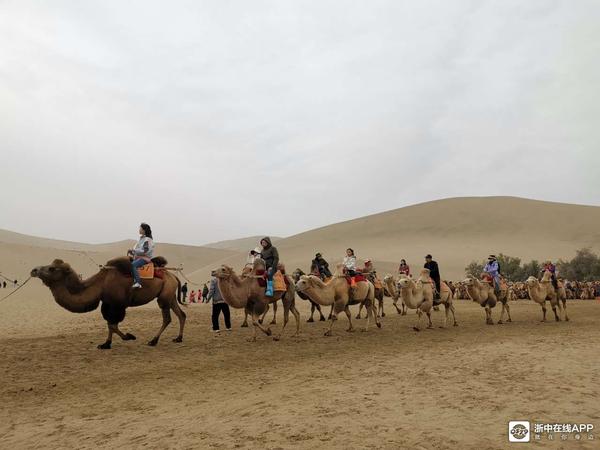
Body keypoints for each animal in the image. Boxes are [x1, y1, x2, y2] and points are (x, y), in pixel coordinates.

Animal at [31, 257, 185, 349]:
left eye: (51, 268)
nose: (34, 270)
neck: (100, 285)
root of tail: (174, 276)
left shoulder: (118, 304)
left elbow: (112, 325)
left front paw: (129, 336)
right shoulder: (107, 303)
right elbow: (109, 324)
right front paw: (106, 344)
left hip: (164, 296)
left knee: (167, 318)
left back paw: (153, 341)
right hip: (170, 295)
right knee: (181, 314)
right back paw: (178, 338)